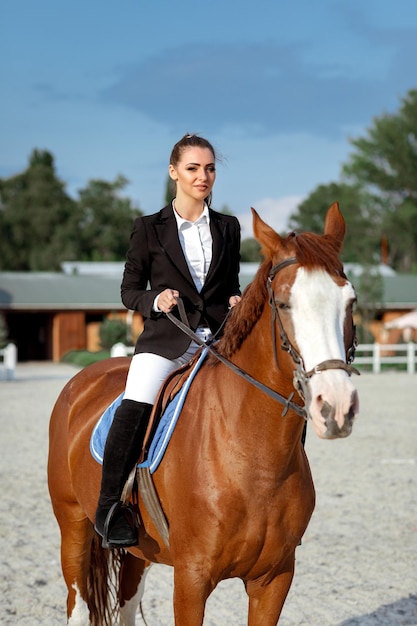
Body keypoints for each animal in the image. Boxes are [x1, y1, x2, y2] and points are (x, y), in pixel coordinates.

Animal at [48, 202, 358, 620]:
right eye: (283, 303)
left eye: (350, 301)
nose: (337, 406)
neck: (255, 459)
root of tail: (82, 380)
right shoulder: (191, 578)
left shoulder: (274, 579)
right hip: (73, 526)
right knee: (78, 605)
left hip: (139, 552)